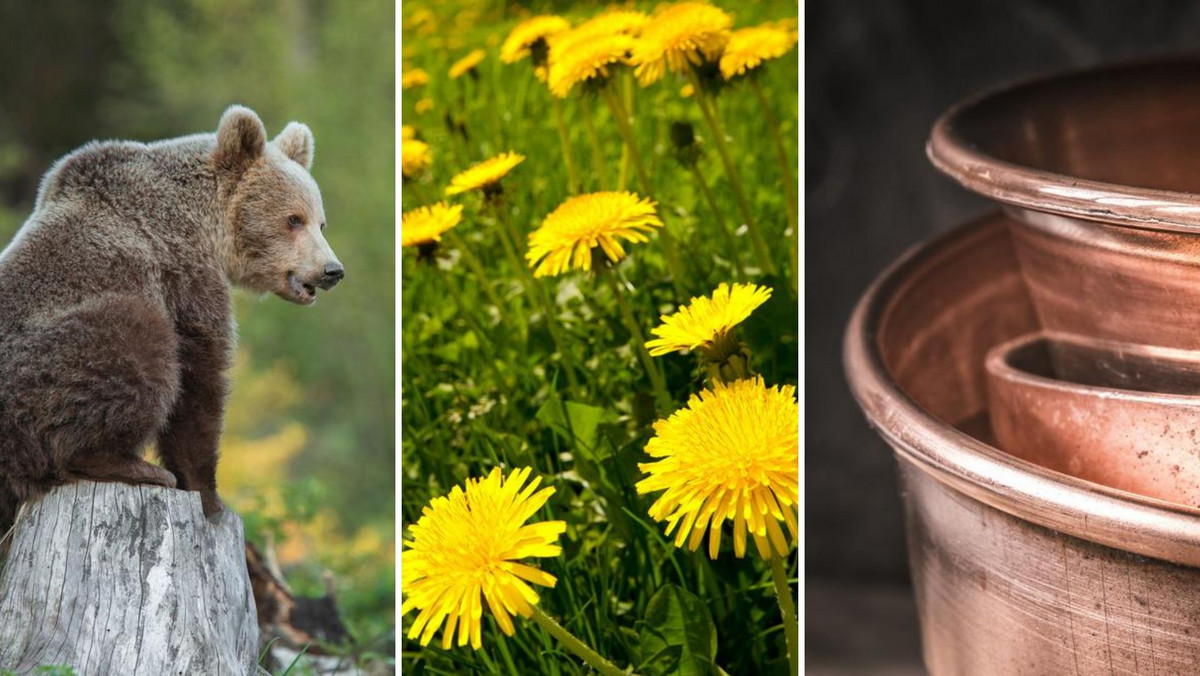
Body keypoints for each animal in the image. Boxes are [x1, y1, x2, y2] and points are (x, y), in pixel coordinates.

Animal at [0, 105, 345, 525]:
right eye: (293, 219)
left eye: (320, 222)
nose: (331, 270)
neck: (206, 223)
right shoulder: (179, 269)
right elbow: (198, 376)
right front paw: (209, 497)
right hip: (36, 369)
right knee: (135, 341)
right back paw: (132, 466)